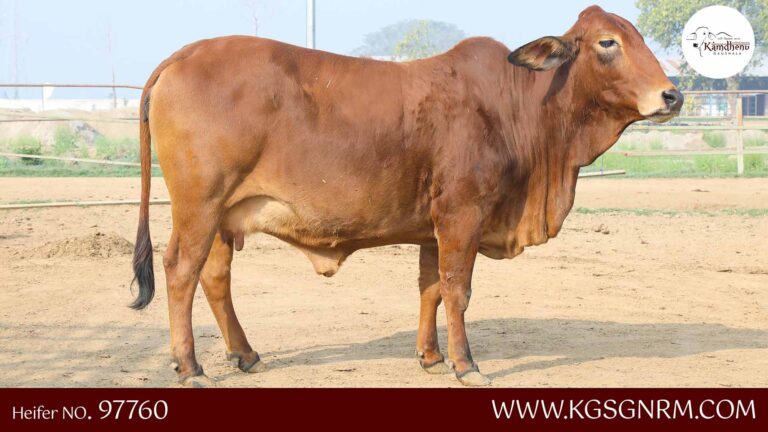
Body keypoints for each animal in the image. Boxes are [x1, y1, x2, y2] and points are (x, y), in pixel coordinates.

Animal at [131, 5, 682, 387]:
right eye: (608, 42)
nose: (672, 95)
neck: (519, 106)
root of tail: (180, 57)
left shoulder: (433, 228)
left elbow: (431, 288)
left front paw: (431, 357)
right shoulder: (463, 214)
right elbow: (457, 290)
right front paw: (465, 364)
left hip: (225, 216)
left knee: (215, 278)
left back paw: (244, 354)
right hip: (200, 206)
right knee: (181, 272)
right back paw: (190, 366)